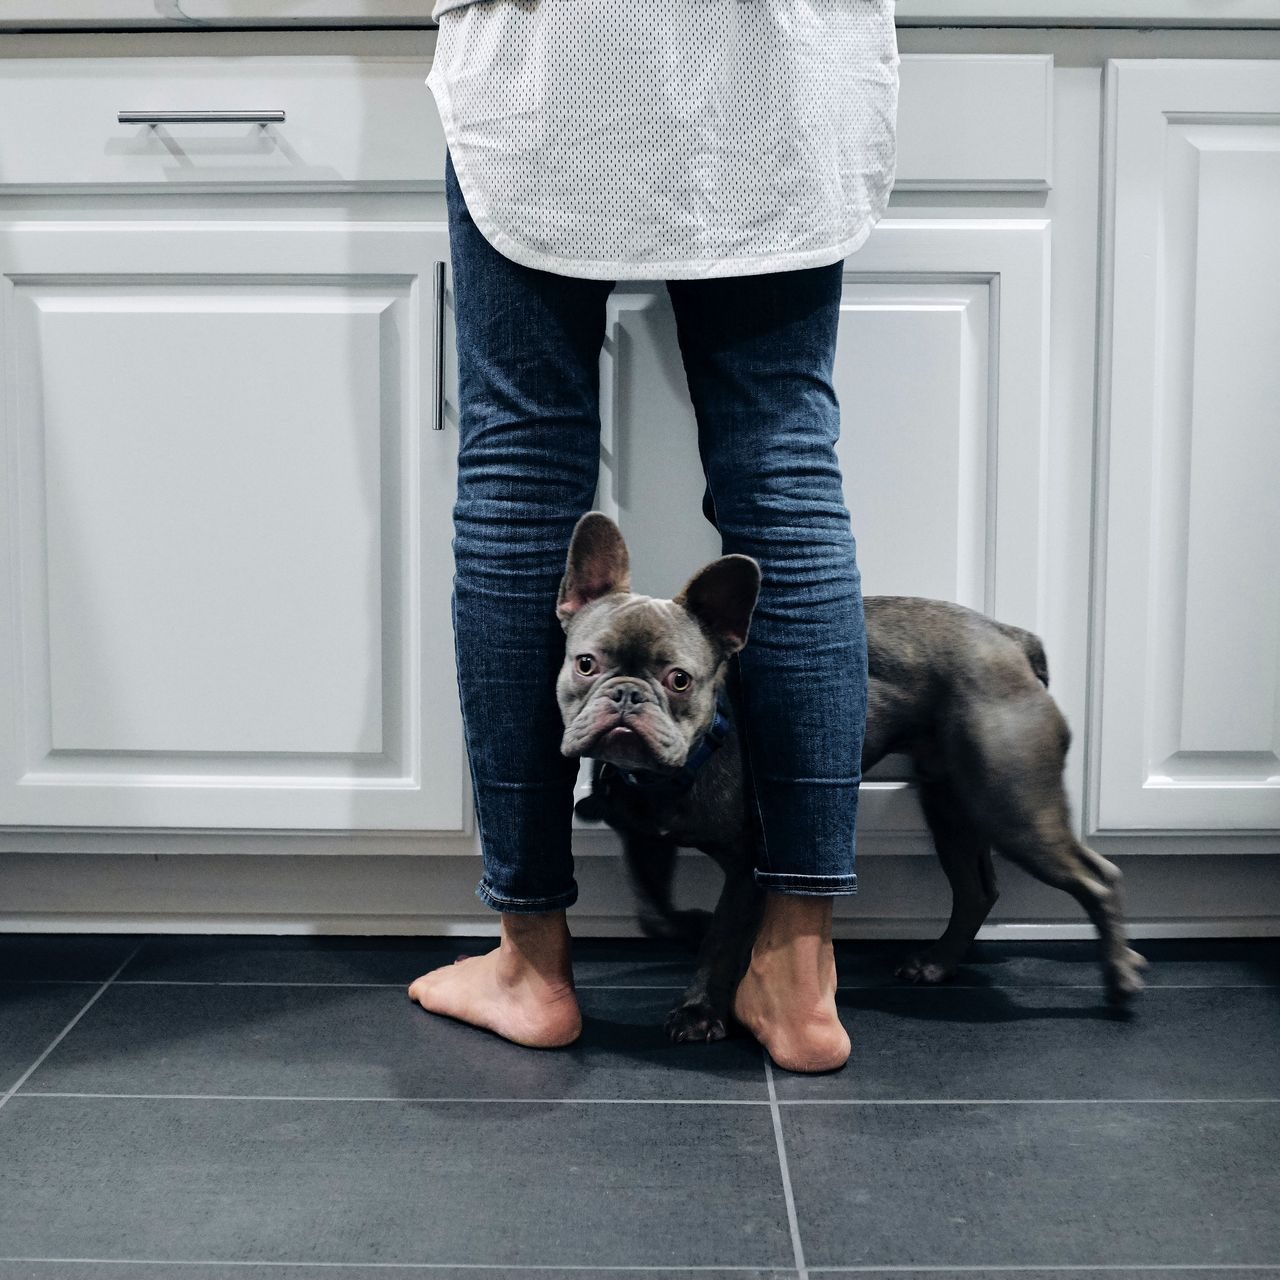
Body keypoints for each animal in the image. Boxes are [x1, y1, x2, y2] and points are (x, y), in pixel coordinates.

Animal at [555, 510, 1147, 1043]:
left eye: (679, 679)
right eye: (585, 664)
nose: (627, 695)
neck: (680, 768)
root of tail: (1010, 638)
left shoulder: (749, 865)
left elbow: (721, 941)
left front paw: (700, 1010)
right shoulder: (645, 841)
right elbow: (656, 912)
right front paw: (692, 928)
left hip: (1012, 803)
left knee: (1098, 877)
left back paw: (1119, 980)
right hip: (952, 806)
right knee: (977, 889)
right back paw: (937, 963)